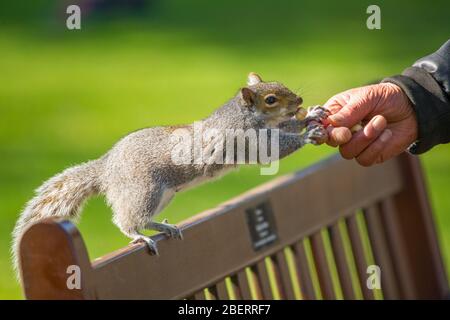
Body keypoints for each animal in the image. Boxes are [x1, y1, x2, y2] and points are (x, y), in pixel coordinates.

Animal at [10, 72, 326, 272]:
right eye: (271, 99)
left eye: (282, 85)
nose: (298, 102)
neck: (247, 116)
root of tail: (106, 169)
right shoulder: (247, 140)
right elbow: (276, 147)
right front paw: (306, 135)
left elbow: (286, 127)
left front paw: (311, 115)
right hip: (144, 190)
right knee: (127, 220)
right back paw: (139, 236)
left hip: (163, 196)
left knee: (144, 218)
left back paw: (164, 228)